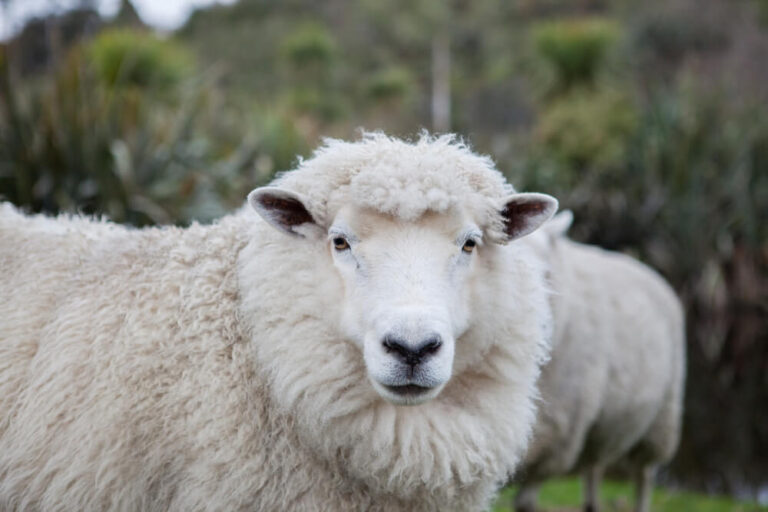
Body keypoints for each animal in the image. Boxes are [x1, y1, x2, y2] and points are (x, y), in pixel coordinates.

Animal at [513, 211, 686, 512]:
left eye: (547, 274)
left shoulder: (555, 437)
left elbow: (526, 500)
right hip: (600, 426)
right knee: (594, 465)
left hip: (660, 421)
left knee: (643, 475)